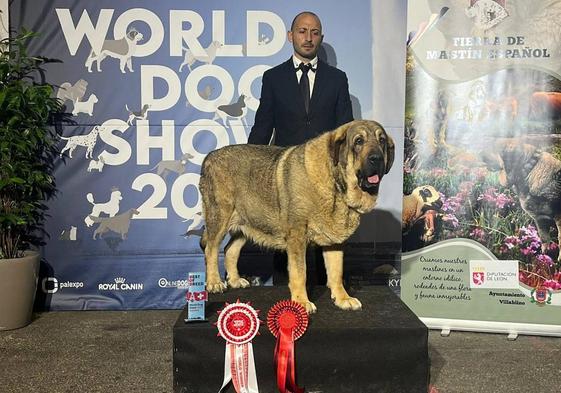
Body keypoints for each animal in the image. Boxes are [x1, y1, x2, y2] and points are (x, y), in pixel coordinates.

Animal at [199, 119, 392, 312]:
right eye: (359, 141)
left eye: (381, 140)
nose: (377, 158)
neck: (336, 185)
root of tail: (209, 157)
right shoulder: (297, 236)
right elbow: (300, 272)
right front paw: (302, 302)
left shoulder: (334, 242)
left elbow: (336, 271)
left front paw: (343, 298)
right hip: (220, 217)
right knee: (211, 249)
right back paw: (214, 282)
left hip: (246, 223)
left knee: (230, 250)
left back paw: (235, 280)